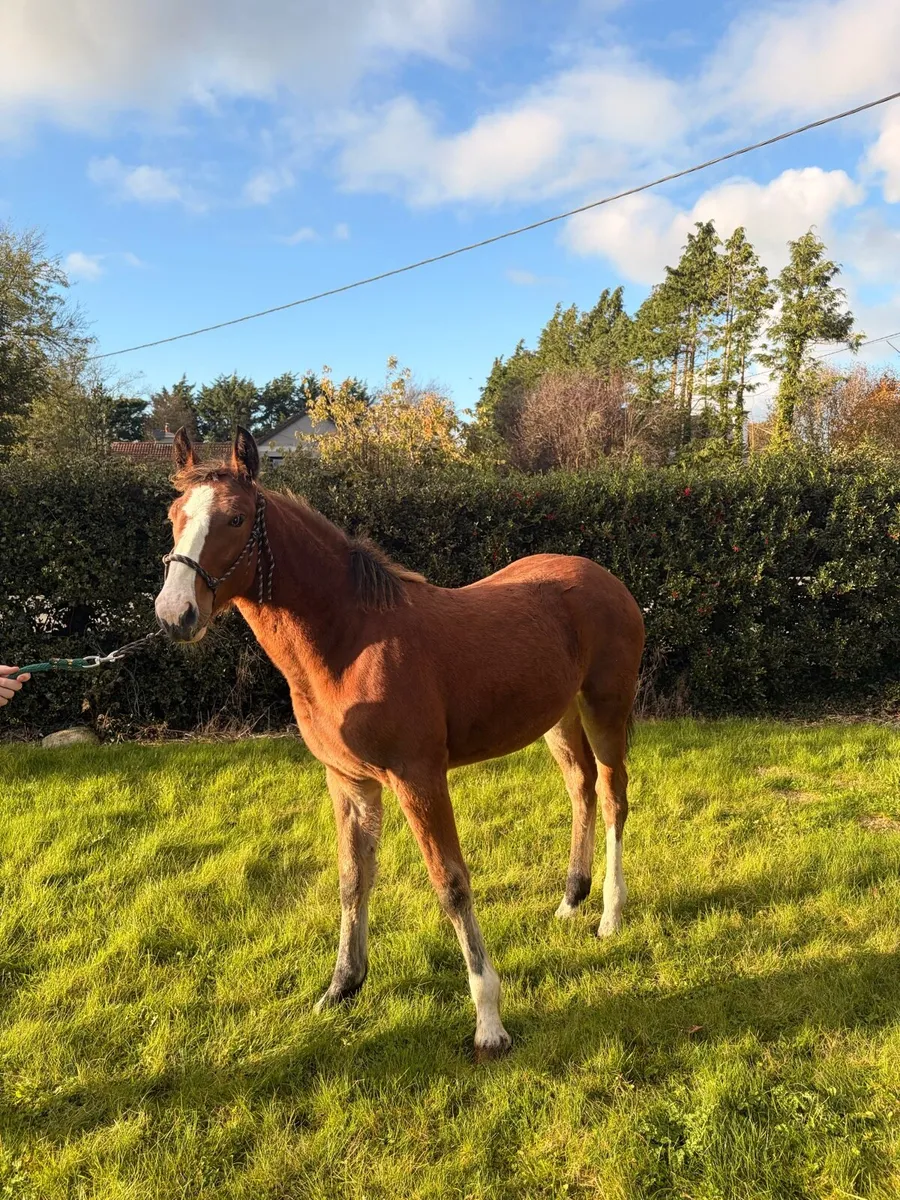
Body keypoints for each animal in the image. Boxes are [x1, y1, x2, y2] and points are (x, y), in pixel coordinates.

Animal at [154, 427, 645, 1060]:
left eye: (236, 518)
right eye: (173, 516)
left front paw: (489, 1022)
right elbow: (352, 879)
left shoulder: (419, 777)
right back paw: (569, 899)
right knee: (581, 788)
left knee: (611, 797)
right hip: (557, 718)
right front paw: (342, 985)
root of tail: (606, 578)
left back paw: (609, 914)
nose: (175, 614)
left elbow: (451, 884)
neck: (352, 641)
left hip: (605, 705)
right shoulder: (350, 781)